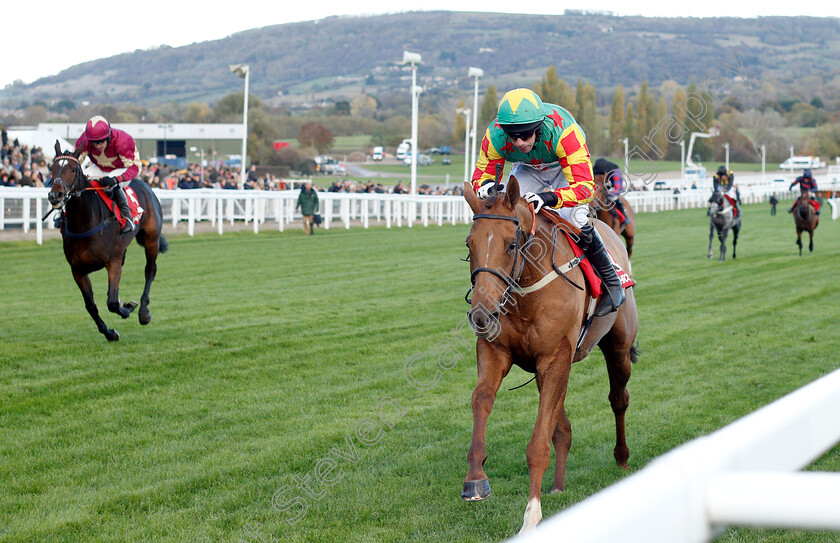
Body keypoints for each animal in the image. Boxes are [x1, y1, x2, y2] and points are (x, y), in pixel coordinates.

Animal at [46, 142, 168, 342]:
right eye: (52, 168)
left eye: (73, 169)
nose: (55, 195)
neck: (85, 223)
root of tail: (146, 184)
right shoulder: (77, 270)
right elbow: (91, 306)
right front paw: (110, 333)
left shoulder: (113, 262)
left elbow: (111, 302)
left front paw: (127, 308)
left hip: (152, 239)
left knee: (150, 271)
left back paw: (143, 312)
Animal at [460, 178, 636, 536]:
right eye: (470, 244)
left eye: (512, 244)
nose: (480, 315)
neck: (526, 288)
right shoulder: (497, 351)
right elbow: (482, 398)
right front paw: (475, 479)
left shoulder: (556, 358)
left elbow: (538, 444)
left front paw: (531, 516)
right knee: (563, 427)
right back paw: (558, 484)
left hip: (618, 348)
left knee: (618, 399)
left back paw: (621, 456)